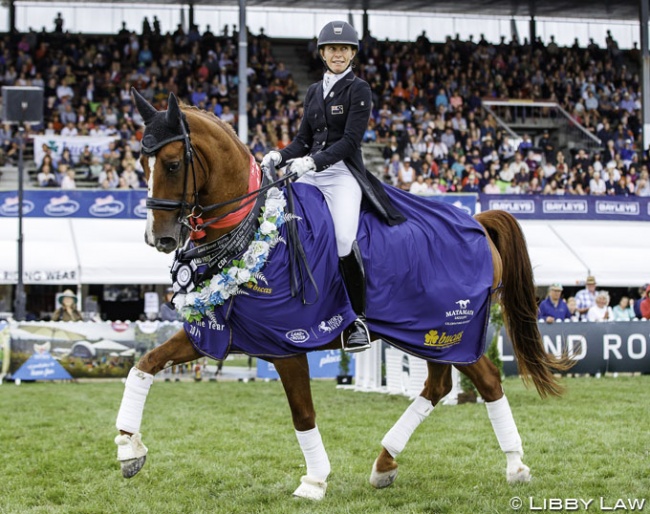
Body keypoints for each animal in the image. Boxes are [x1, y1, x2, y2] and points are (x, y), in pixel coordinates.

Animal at [114, 90, 568, 498]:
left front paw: (314, 482)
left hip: (453, 334)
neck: (256, 229)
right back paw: (386, 464)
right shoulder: (213, 330)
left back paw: (515, 466)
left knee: (487, 381)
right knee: (439, 386)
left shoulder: (289, 342)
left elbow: (302, 414)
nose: (159, 238)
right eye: (141, 162)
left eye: (172, 164)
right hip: (430, 336)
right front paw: (128, 448)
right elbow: (145, 364)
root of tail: (477, 222)